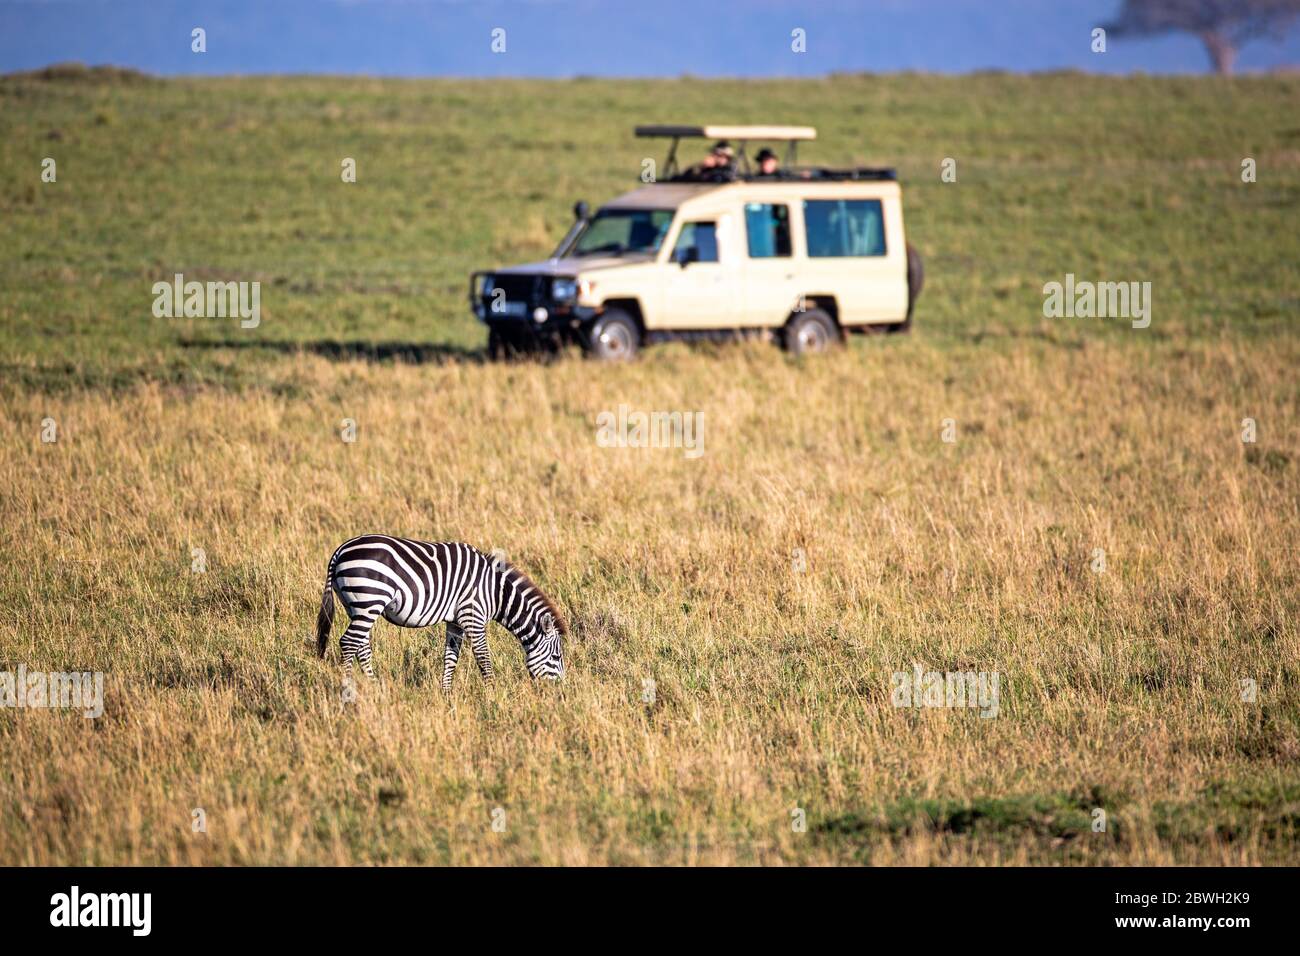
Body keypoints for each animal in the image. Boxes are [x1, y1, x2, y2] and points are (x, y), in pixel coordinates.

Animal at [315, 535, 566, 689]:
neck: (494, 592)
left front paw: (447, 694)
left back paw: (374, 686)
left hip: (356, 606)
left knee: (362, 646)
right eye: (556, 657)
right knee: (349, 642)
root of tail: (340, 551)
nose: (560, 693)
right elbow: (483, 658)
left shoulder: (455, 622)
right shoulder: (473, 616)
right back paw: (348, 688)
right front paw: (492, 693)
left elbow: (451, 657)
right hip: (370, 600)